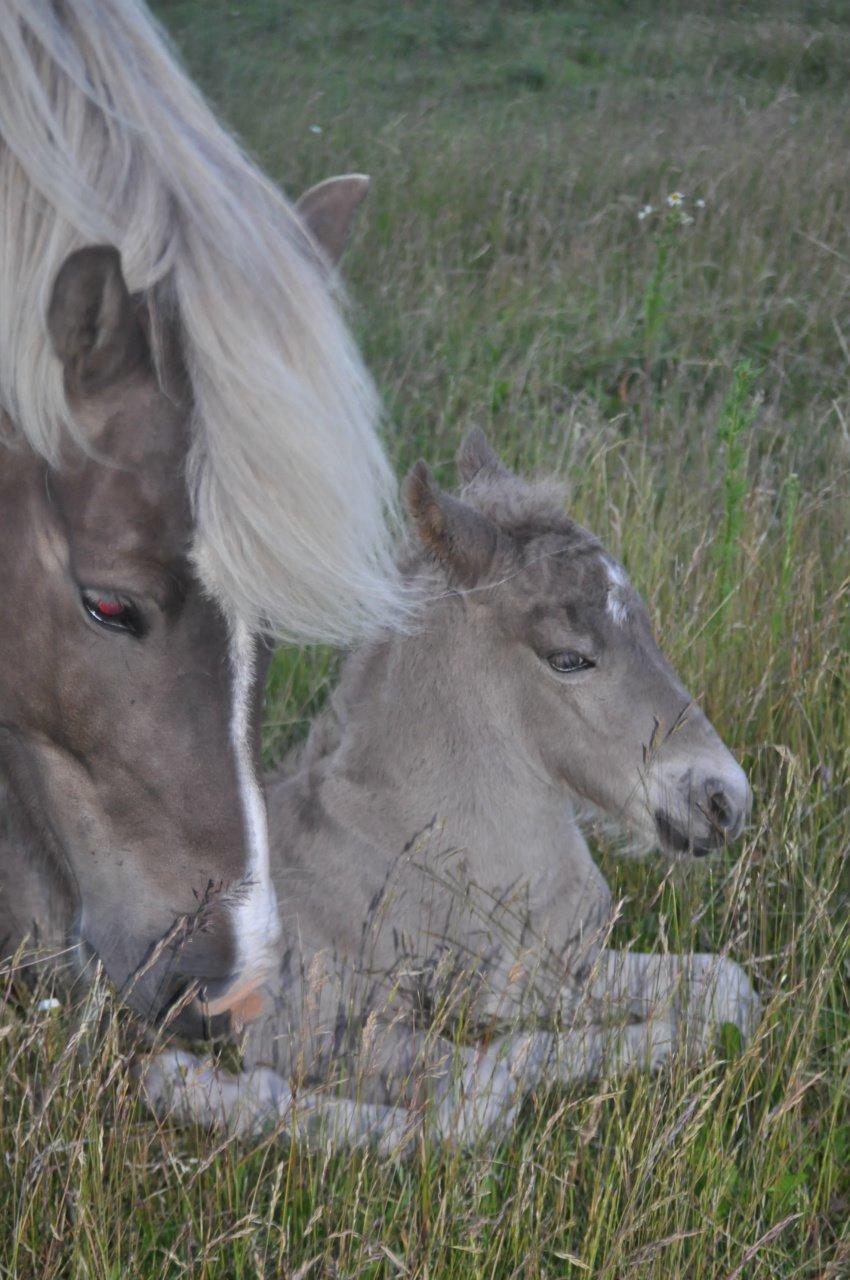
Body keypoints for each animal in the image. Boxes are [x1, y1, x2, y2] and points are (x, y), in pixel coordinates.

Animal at [142, 432, 757, 1152]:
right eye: (568, 658)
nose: (724, 799)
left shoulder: (553, 967)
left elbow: (725, 990)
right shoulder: (303, 1026)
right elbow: (482, 1093)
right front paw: (195, 1082)